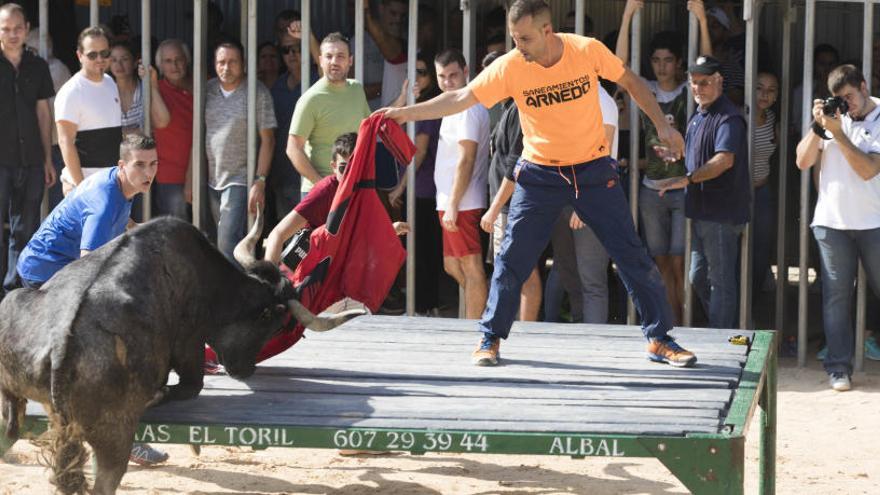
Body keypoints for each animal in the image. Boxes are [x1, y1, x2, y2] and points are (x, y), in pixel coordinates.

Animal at [0, 217, 362, 495]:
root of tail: (62, 346)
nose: (245, 370)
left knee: (9, 435)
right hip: (114, 437)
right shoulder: (190, 342)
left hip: (11, 394)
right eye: (273, 325)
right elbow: (190, 386)